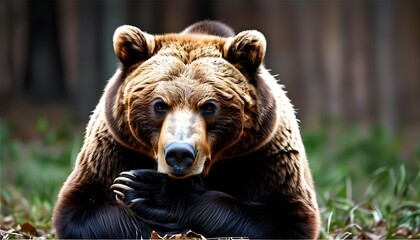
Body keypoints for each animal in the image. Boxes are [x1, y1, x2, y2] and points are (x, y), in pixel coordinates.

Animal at [52, 20, 322, 238]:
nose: (179, 153)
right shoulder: (113, 146)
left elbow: (284, 219)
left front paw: (152, 192)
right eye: (159, 104)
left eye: (209, 106)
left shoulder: (264, 154)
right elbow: (82, 208)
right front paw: (134, 192)